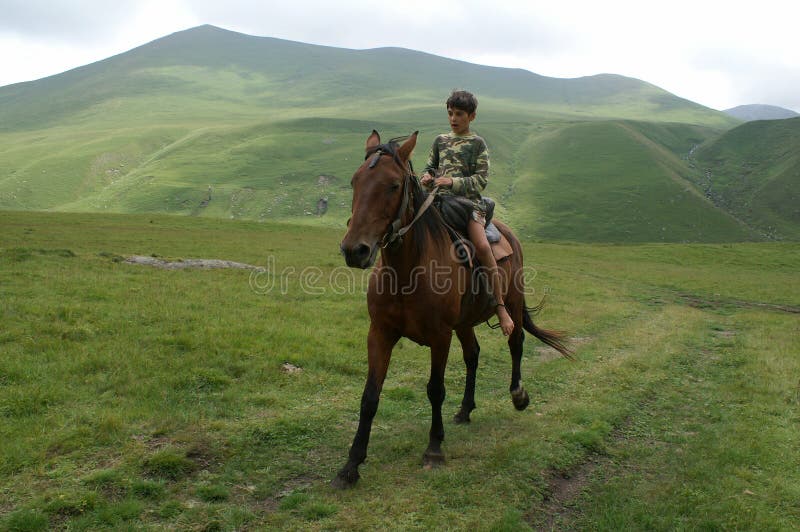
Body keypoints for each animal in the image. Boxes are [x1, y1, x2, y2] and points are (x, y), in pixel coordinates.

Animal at [332, 131, 576, 488]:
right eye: (354, 181)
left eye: (393, 185)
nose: (355, 250)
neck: (407, 272)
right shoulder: (379, 333)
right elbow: (370, 396)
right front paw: (351, 465)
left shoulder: (440, 336)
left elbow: (435, 389)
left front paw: (434, 448)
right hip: (464, 323)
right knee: (473, 355)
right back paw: (465, 409)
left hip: (512, 304)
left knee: (515, 343)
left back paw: (518, 394)